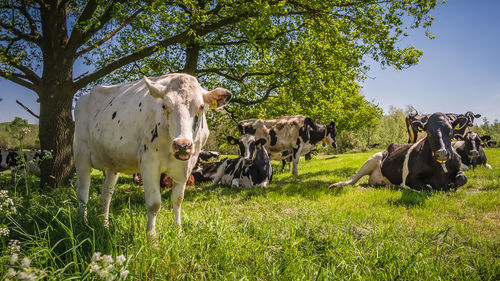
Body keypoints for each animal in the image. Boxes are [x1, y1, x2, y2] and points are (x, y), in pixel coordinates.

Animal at [73, 73, 232, 235]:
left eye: (201, 107)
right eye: (164, 105)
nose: (182, 145)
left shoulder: (187, 165)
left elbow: (178, 199)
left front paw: (178, 231)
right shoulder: (149, 164)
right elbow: (154, 204)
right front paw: (151, 237)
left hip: (113, 161)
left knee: (106, 193)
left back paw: (105, 225)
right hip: (81, 154)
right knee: (83, 192)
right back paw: (83, 223)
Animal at [332, 112, 468, 191]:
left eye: (451, 132)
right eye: (428, 132)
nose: (442, 153)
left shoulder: (458, 168)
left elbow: (463, 179)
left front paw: (452, 185)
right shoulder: (410, 178)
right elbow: (428, 187)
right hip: (372, 159)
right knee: (353, 180)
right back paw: (337, 185)